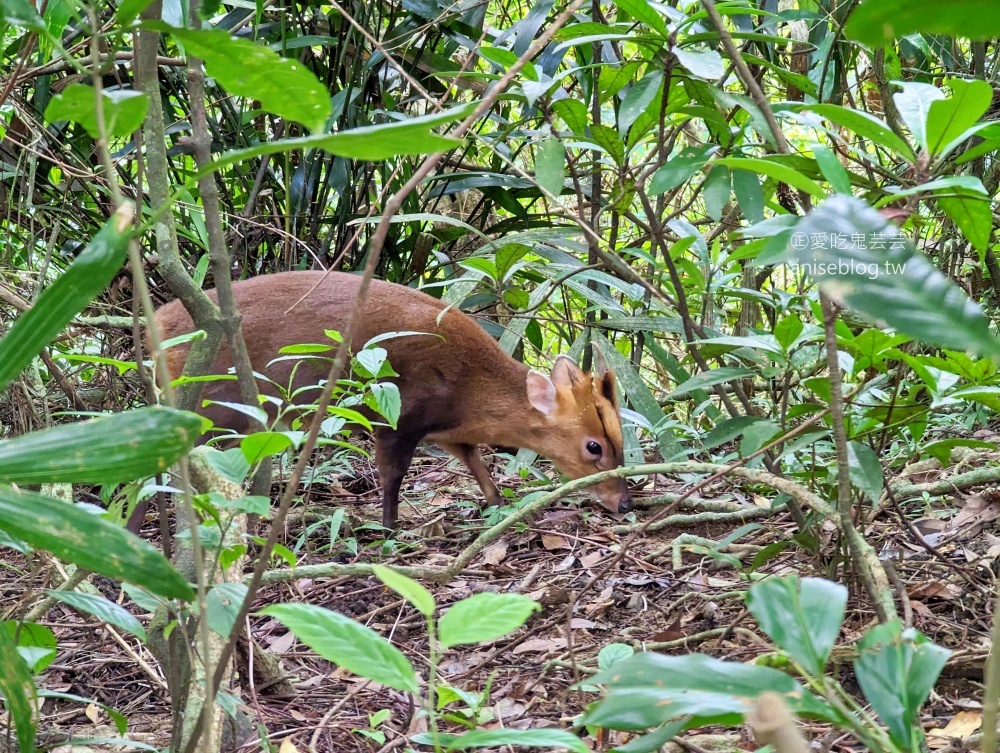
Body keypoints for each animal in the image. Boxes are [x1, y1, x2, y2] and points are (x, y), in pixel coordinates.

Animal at [152, 272, 628, 528]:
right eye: (594, 447)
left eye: (622, 443)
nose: (624, 502)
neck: (467, 391)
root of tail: (155, 322)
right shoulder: (399, 418)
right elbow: (392, 477)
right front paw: (389, 527)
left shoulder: (448, 433)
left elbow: (477, 464)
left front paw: (500, 505)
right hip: (217, 407)